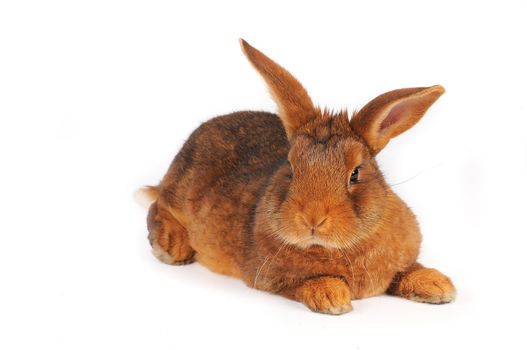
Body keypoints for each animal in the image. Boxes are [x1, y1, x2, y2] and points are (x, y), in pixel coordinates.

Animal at [141, 39, 458, 314]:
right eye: (291, 168)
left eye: (355, 173)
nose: (312, 219)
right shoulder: (272, 277)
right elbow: (306, 282)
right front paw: (332, 297)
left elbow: (408, 270)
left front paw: (438, 285)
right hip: (179, 194)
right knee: (157, 206)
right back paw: (172, 246)